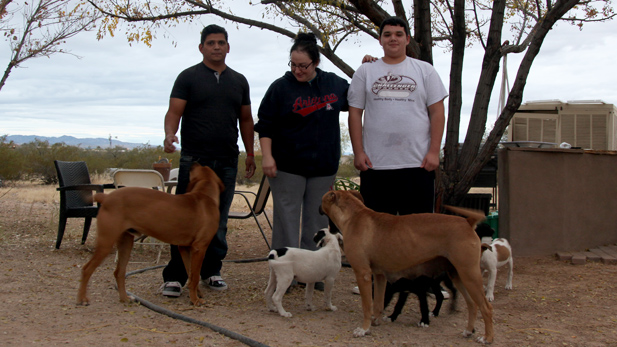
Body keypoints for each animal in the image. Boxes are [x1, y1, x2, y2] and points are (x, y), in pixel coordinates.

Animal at [76, 164, 223, 308]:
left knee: (119, 272)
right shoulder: (199, 248)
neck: (205, 196)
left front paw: (197, 293)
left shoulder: (184, 248)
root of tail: (106, 197)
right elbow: (195, 276)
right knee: (87, 269)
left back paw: (125, 298)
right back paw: (82, 299)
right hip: (106, 243)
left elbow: (191, 274)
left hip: (126, 243)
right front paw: (195, 300)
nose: (193, 163)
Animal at [320, 190, 494, 346]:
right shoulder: (379, 276)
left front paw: (364, 329)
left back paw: (487, 338)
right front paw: (376, 322)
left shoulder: (363, 274)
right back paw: (469, 330)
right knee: (472, 304)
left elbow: (367, 306)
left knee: (486, 307)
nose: (318, 207)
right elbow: (378, 304)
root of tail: (467, 222)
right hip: (458, 275)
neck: (354, 216)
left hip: (469, 275)